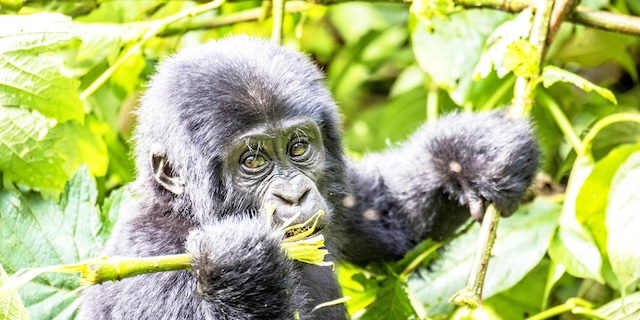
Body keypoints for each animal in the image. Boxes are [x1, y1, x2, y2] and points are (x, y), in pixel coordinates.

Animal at [80, 36, 540, 318]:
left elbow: (390, 218)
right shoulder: (150, 265)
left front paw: (473, 155)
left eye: (298, 147)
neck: (186, 213)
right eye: (252, 160)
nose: (294, 195)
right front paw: (239, 265)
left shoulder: (339, 203)